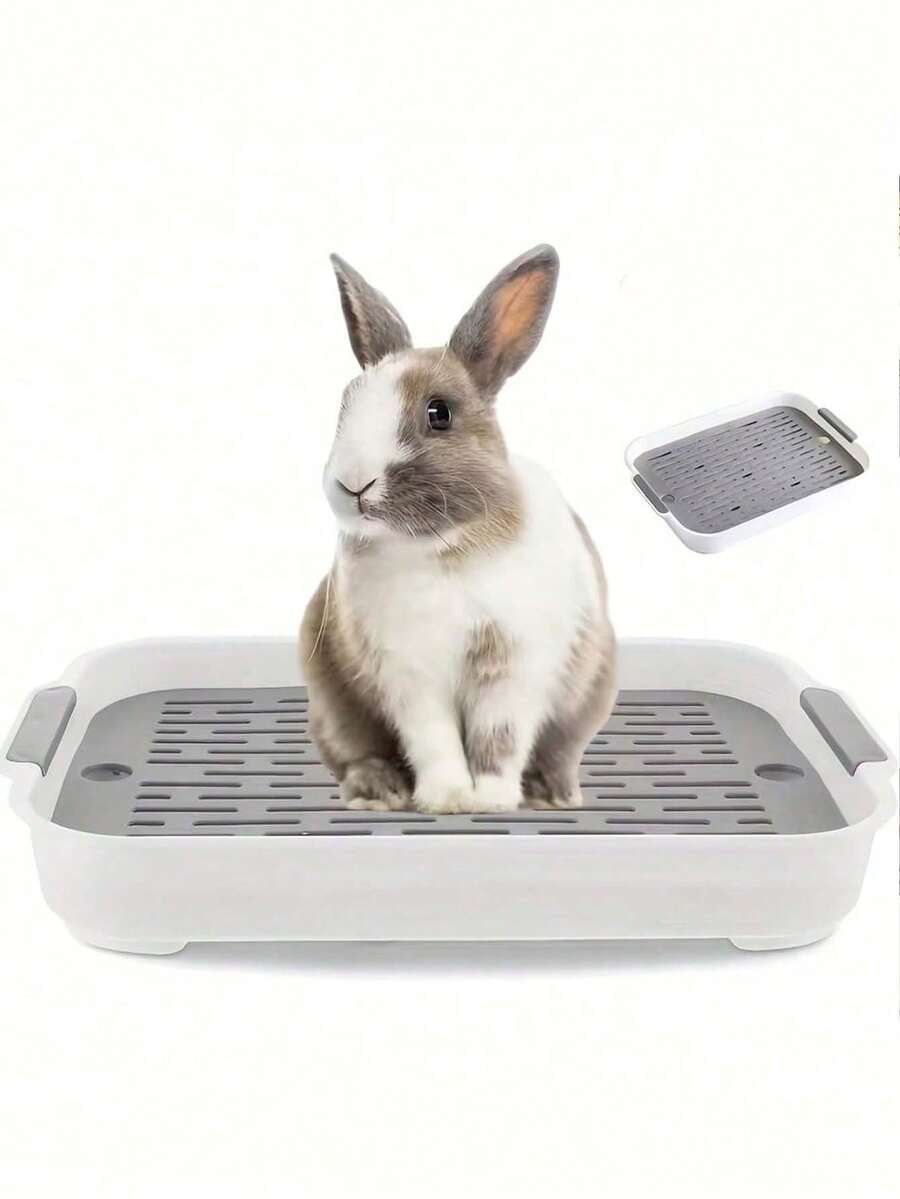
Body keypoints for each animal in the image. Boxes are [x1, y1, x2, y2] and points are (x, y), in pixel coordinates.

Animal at [300, 244, 616, 814]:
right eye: (345, 405)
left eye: (439, 413)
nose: (353, 484)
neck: (440, 548)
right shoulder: (410, 675)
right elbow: (434, 740)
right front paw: (447, 798)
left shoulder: (512, 667)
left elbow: (499, 739)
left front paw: (488, 800)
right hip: (331, 703)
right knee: (356, 754)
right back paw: (379, 793)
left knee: (560, 749)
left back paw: (553, 794)